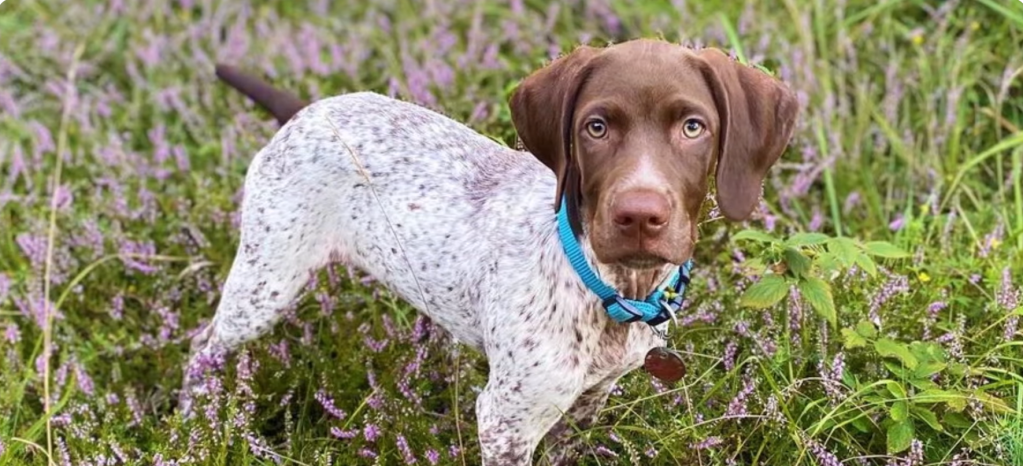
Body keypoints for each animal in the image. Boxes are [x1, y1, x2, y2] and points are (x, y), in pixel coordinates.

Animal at [184, 38, 797, 463]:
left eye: (693, 127)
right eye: (595, 127)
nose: (640, 216)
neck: (610, 286)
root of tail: (310, 111)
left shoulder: (586, 403)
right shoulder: (505, 421)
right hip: (266, 280)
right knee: (202, 348)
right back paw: (193, 427)